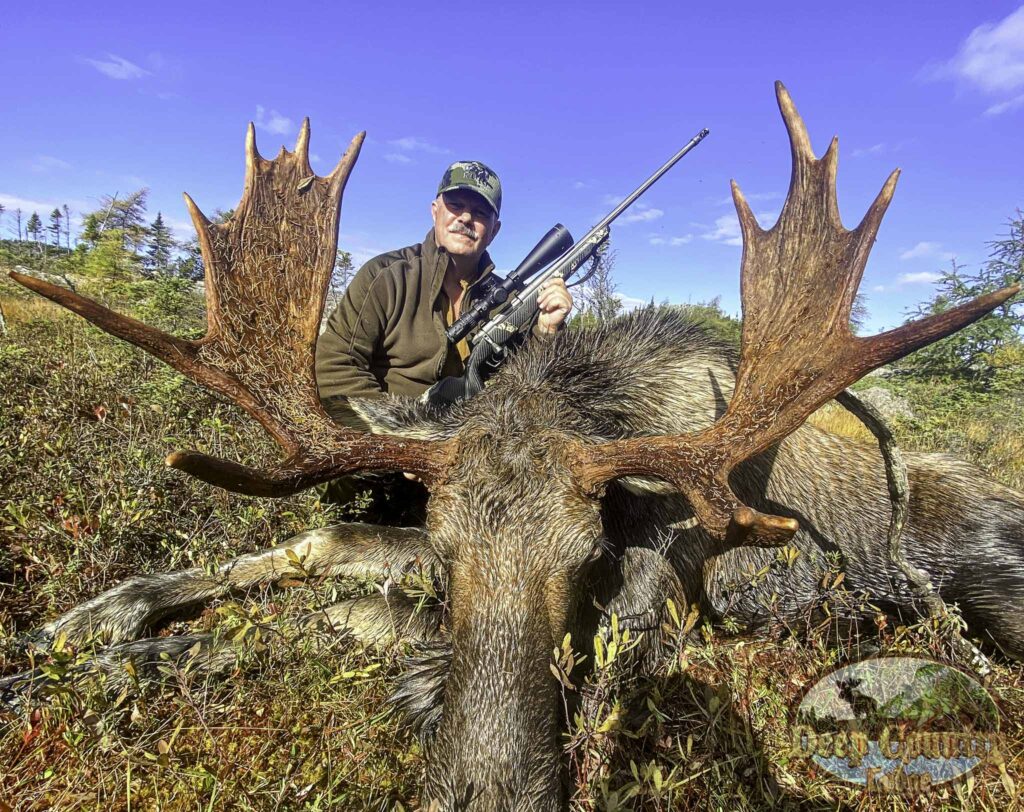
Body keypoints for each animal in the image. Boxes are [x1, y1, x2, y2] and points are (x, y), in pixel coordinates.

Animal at [5, 82, 1023, 811]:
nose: (486, 793)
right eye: (449, 549)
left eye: (589, 557)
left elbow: (327, 629)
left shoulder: (650, 617)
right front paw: (74, 632)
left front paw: (120, 657)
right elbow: (310, 550)